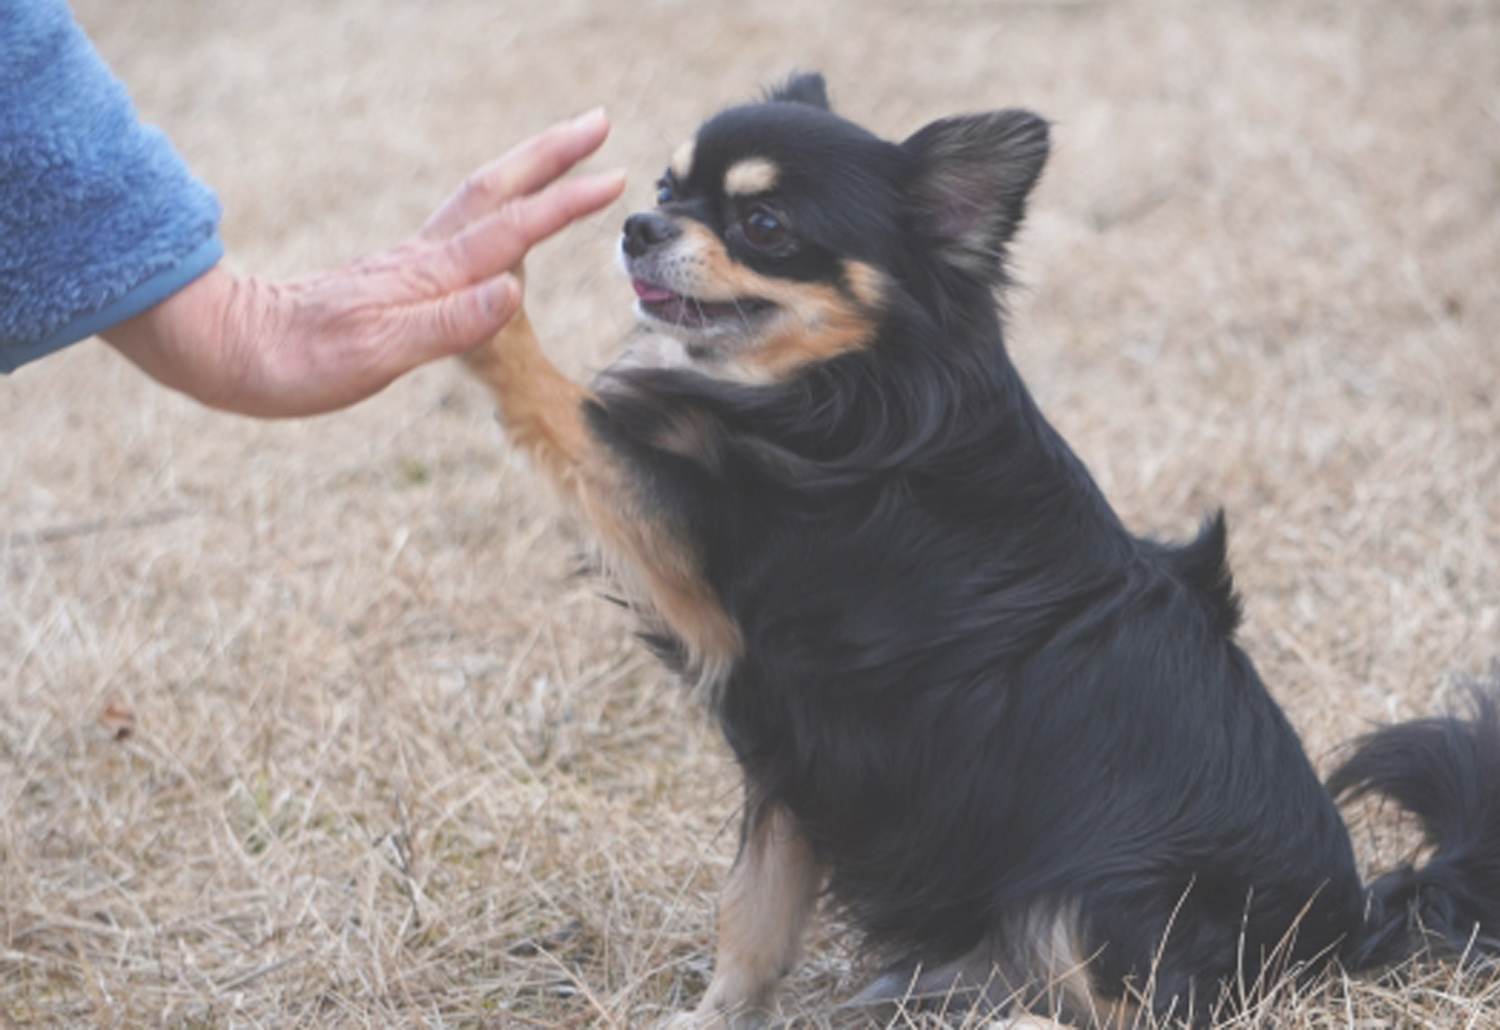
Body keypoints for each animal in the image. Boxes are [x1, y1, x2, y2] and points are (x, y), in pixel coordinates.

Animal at [465, 76, 1500, 1025]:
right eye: (667, 185)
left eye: (763, 223)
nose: (639, 224)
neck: (853, 378)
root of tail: (1351, 929)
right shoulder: (798, 748)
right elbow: (754, 915)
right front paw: (719, 1015)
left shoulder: (706, 556)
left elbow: (566, 406)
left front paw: (480, 292)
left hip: (1098, 896)